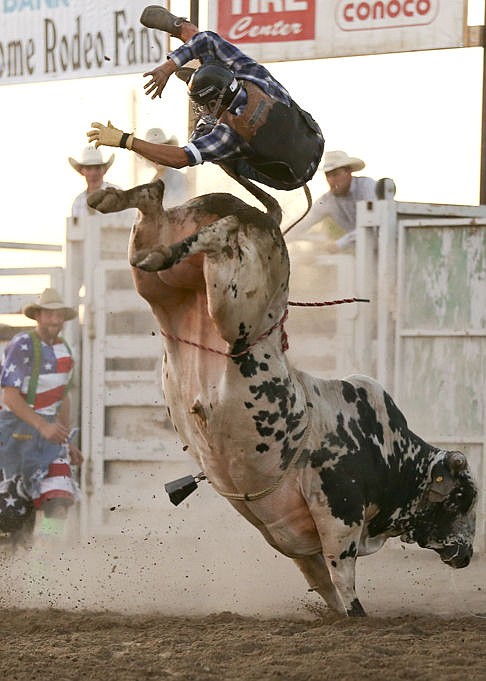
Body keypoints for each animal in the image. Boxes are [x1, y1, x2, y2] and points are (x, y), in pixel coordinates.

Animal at [88, 178, 478, 612]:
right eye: (464, 497)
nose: (467, 554)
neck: (390, 451)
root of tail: (258, 215)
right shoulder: (339, 518)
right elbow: (344, 583)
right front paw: (359, 612)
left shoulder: (299, 546)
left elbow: (322, 583)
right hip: (239, 306)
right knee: (219, 236)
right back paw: (208, 227)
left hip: (161, 285)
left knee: (153, 212)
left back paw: (121, 205)